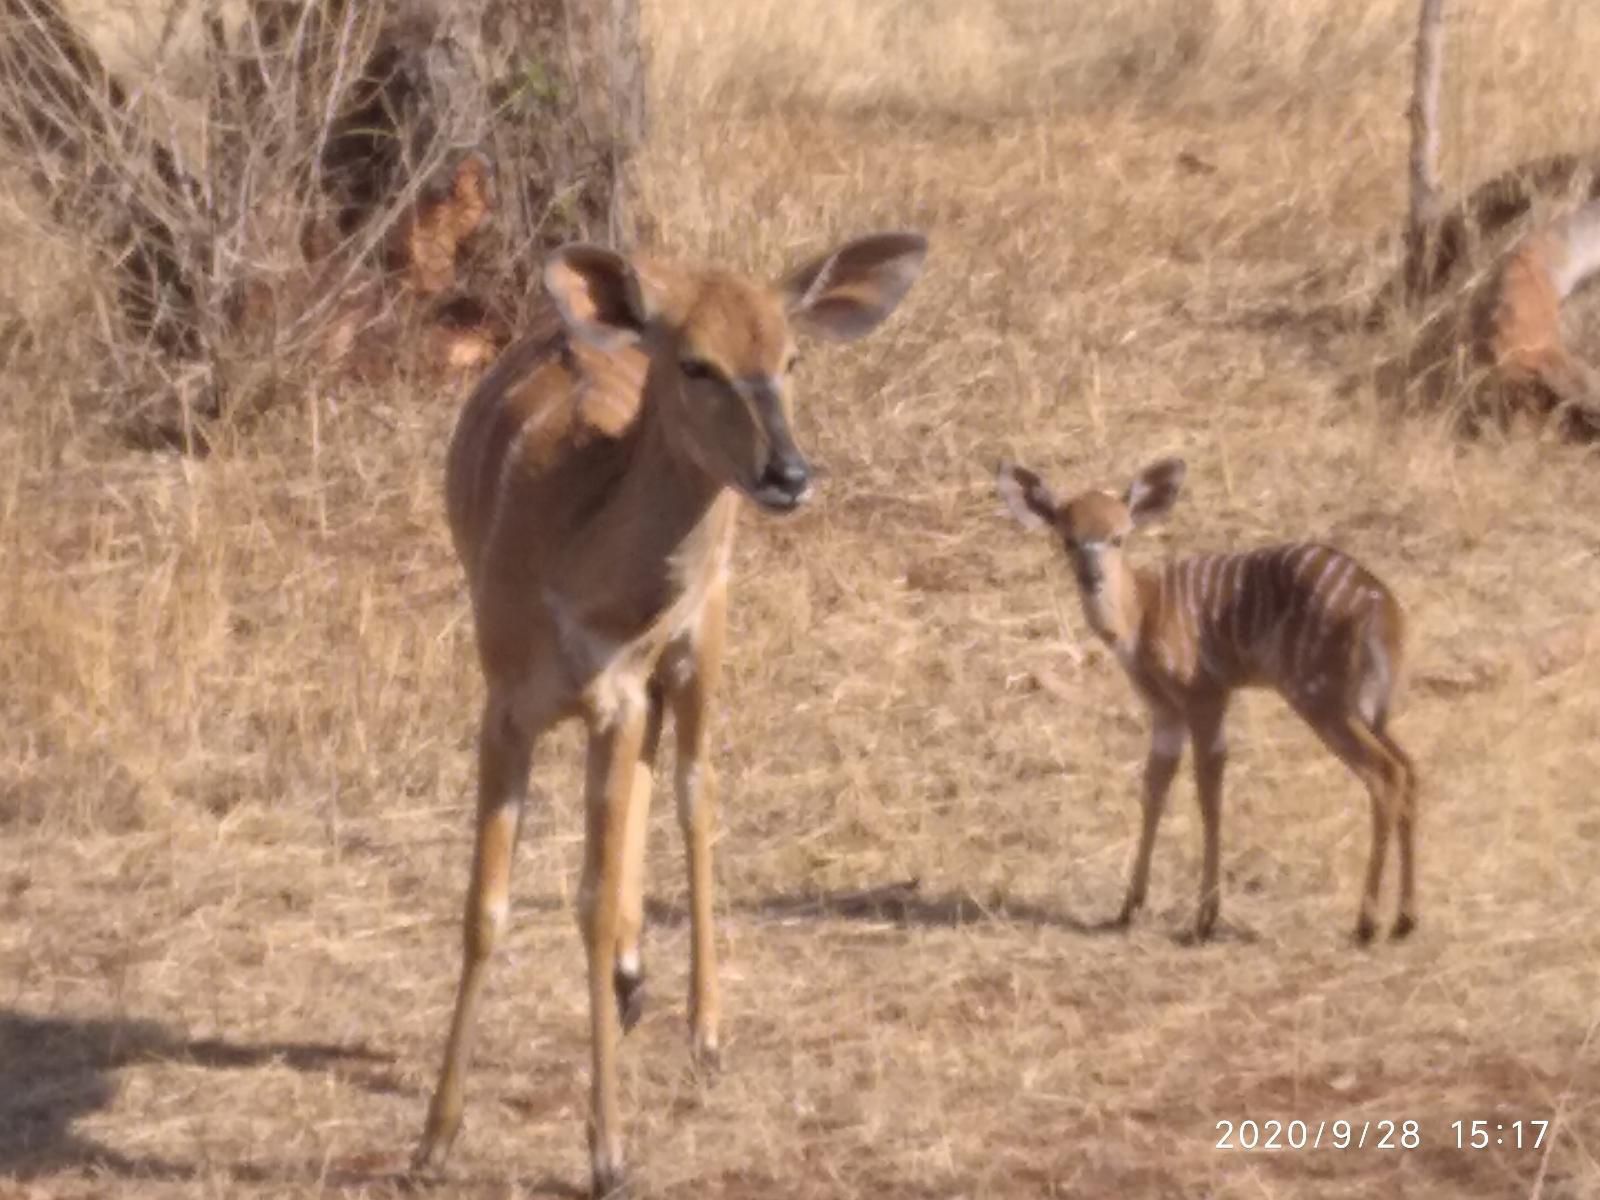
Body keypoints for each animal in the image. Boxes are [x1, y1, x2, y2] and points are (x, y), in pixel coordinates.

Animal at [416, 227, 928, 1196]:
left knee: (695, 787)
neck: (574, 547)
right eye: (696, 363)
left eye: (791, 357)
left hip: (704, 639)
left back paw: (703, 1028)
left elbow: (586, 896)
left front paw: (608, 1152)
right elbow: (486, 906)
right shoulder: (507, 706)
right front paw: (434, 1138)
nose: (788, 474)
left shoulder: (613, 695)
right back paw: (631, 980)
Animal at [992, 460, 1420, 947]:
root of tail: (1383, 608)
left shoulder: (1205, 695)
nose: (1092, 578)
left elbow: (1207, 793)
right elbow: (1154, 789)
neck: (1142, 613)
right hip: (1369, 708)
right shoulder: (1165, 712)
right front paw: (1127, 907)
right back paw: (1404, 920)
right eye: (1067, 538)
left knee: (1385, 774)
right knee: (1410, 769)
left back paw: (1366, 924)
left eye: (1119, 536)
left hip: (1321, 697)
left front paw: (1204, 917)